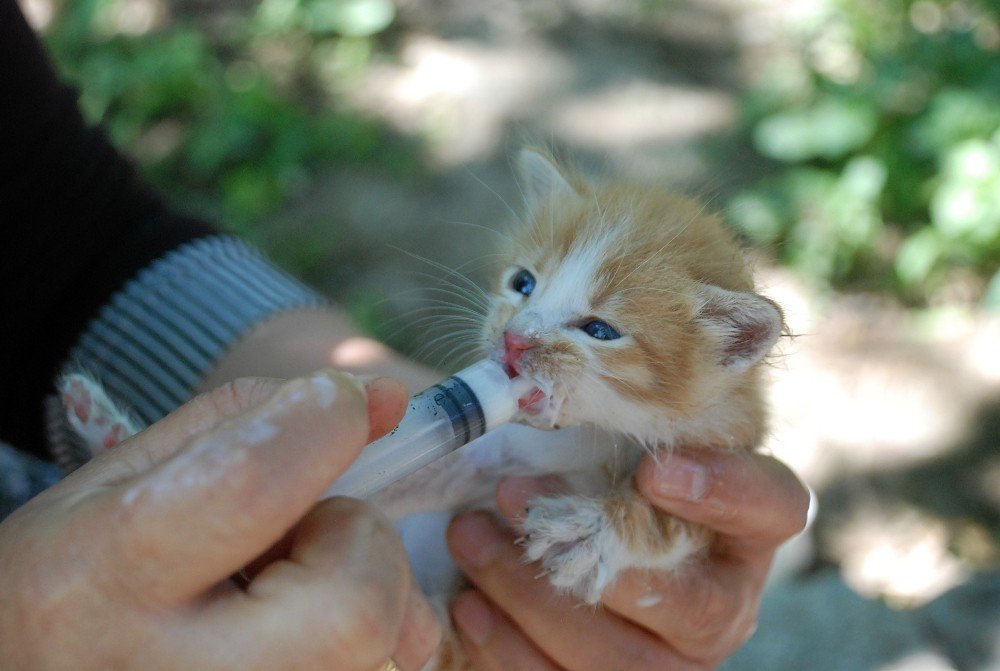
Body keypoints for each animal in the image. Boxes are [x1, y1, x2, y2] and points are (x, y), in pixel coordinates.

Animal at [378, 147, 784, 660]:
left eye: (599, 331)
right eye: (523, 282)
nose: (514, 339)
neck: (596, 431)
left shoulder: (722, 464)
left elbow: (671, 521)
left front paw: (593, 530)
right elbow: (433, 472)